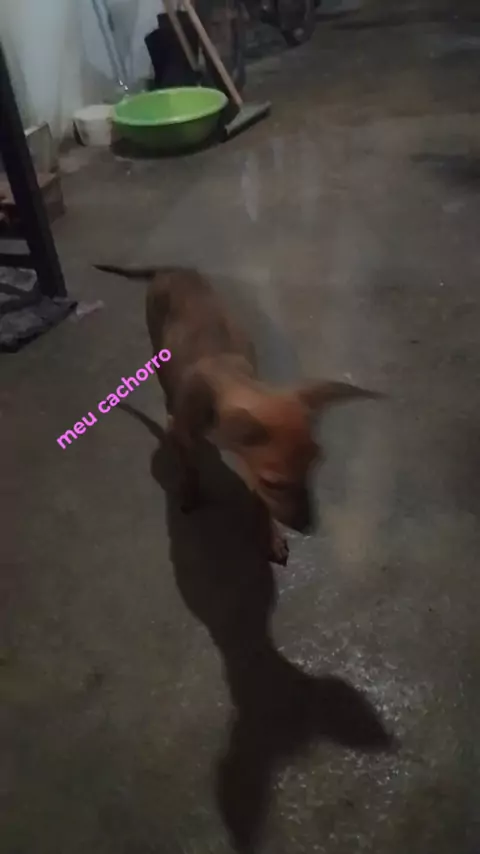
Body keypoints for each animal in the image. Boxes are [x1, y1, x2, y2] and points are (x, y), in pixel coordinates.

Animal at [95, 264, 381, 565]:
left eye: (316, 464)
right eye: (274, 483)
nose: (308, 527)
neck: (227, 375)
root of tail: (171, 269)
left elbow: (260, 501)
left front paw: (270, 536)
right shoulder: (182, 431)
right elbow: (189, 466)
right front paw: (191, 491)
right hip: (156, 342)